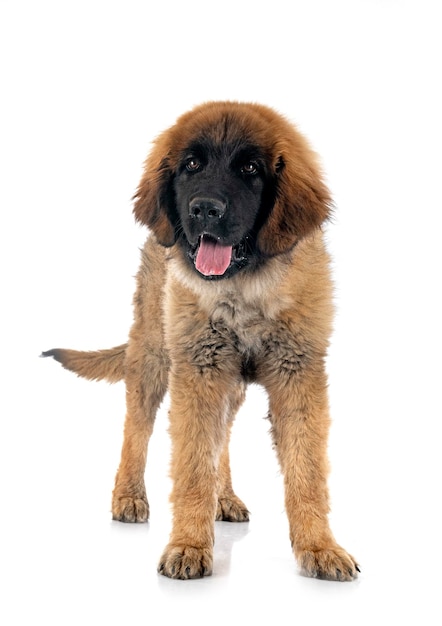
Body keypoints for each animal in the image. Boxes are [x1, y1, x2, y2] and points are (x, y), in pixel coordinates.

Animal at [42, 100, 360, 576]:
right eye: (191, 165)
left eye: (250, 168)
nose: (205, 209)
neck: (244, 288)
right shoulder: (198, 370)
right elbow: (192, 465)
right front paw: (189, 545)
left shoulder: (296, 373)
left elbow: (306, 470)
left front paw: (320, 548)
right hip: (154, 356)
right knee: (136, 429)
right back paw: (128, 496)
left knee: (222, 439)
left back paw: (223, 498)